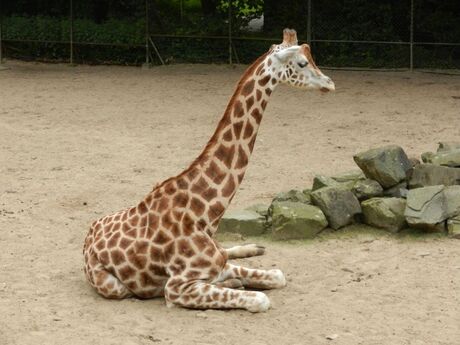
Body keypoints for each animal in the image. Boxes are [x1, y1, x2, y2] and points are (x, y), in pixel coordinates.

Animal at [82, 28, 334, 312]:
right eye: (301, 63)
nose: (329, 83)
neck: (204, 215)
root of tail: (87, 237)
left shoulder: (218, 265)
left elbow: (277, 276)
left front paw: (242, 275)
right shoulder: (176, 288)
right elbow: (260, 299)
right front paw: (239, 285)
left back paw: (254, 249)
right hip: (113, 287)